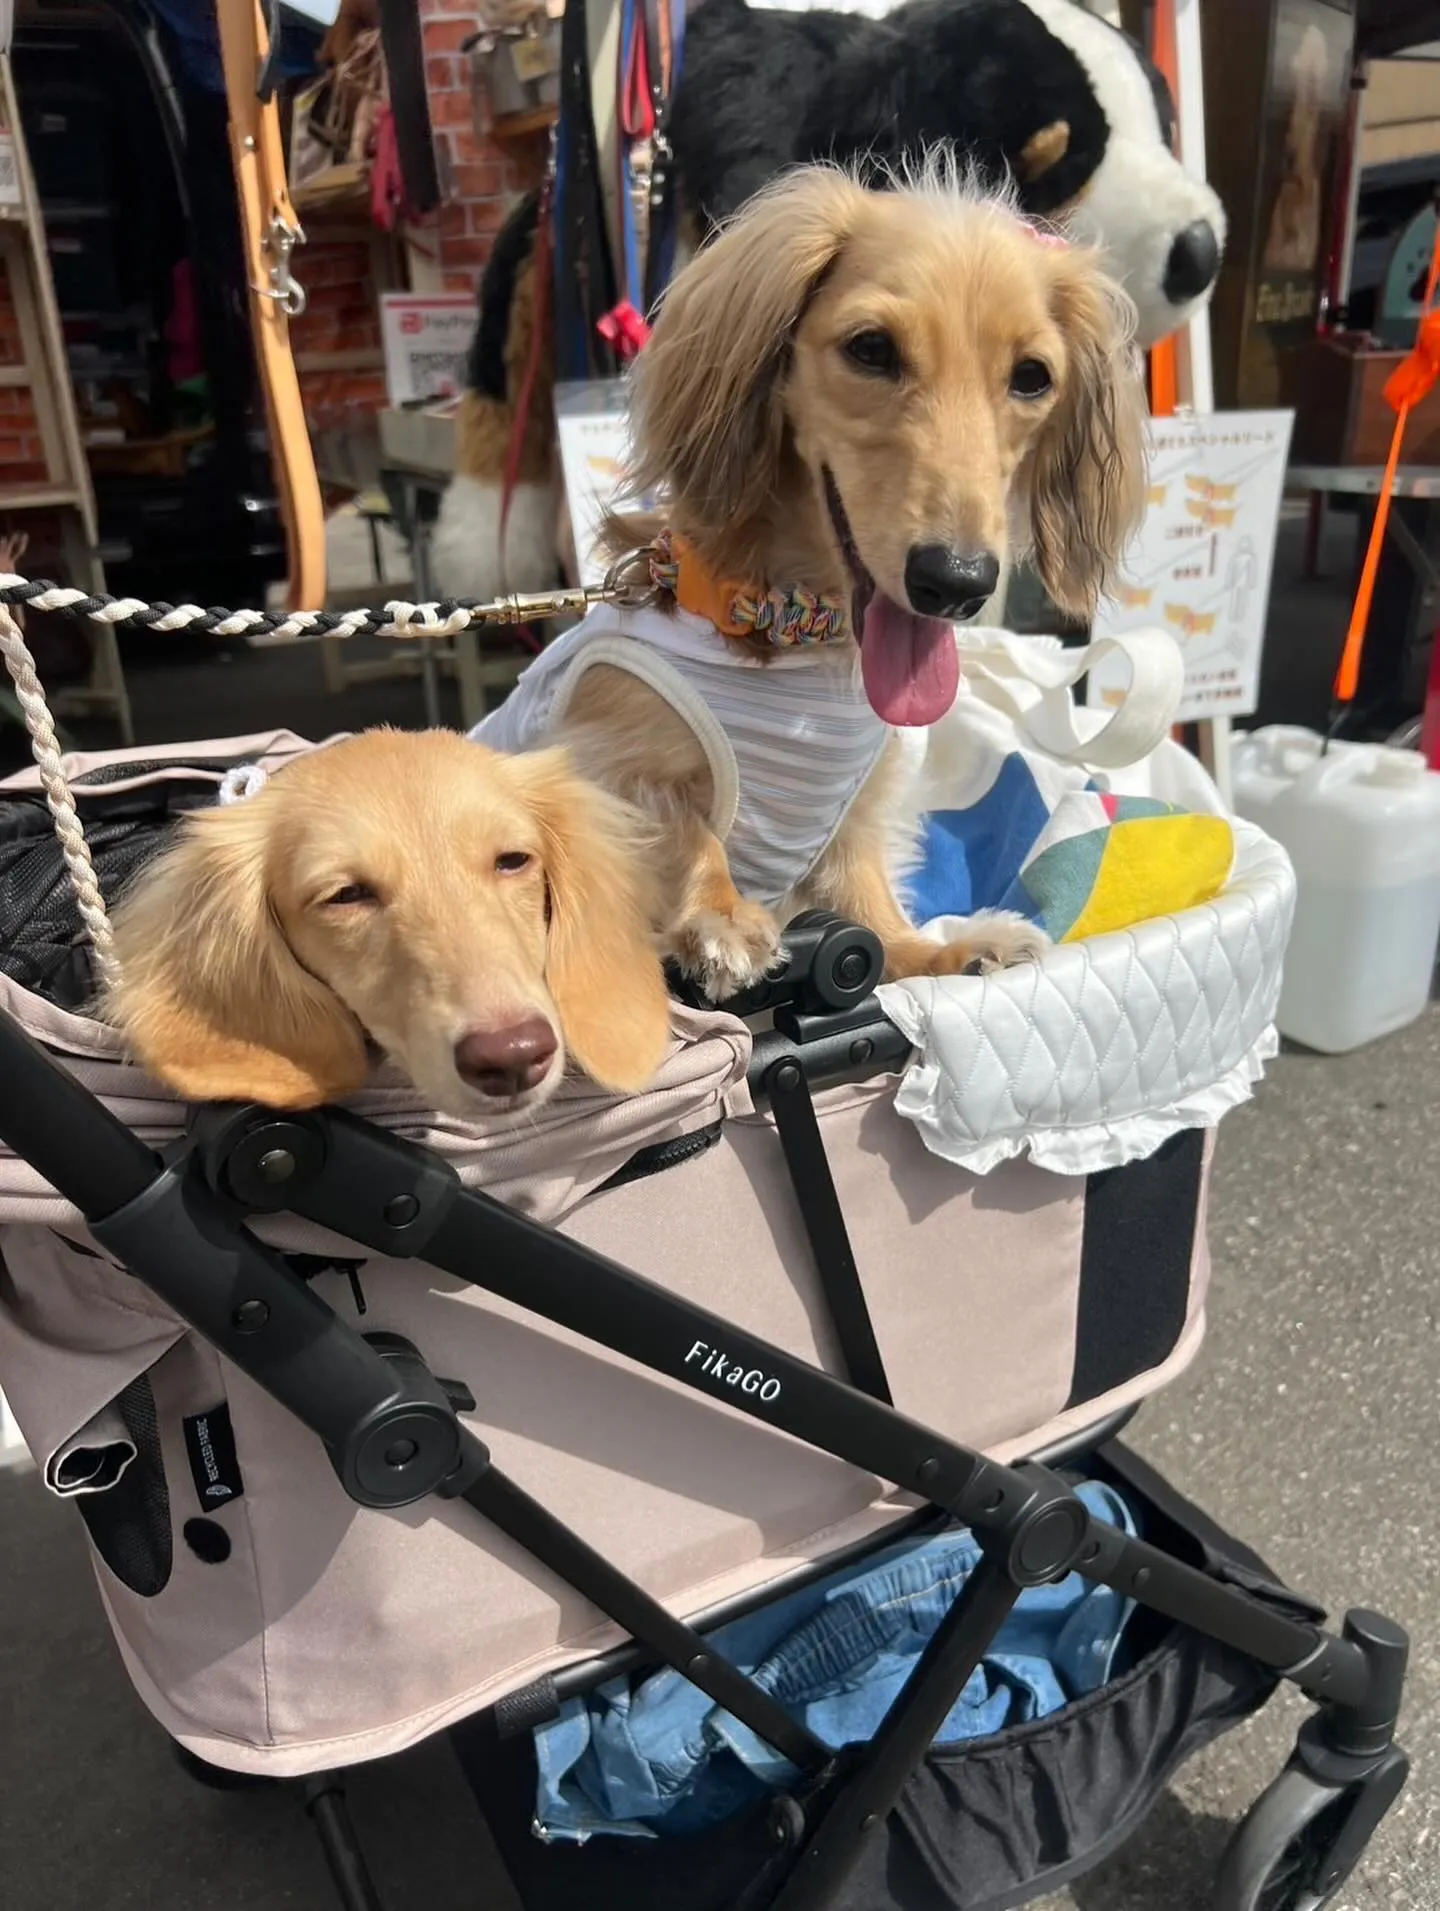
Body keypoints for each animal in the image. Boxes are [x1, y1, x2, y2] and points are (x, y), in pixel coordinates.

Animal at [472, 160, 1149, 1000]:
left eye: (1032, 377)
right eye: (871, 348)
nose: (957, 581)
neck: (786, 625)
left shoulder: (854, 815)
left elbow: (866, 904)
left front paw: (937, 951)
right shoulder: (602, 757)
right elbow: (683, 830)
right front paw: (721, 915)